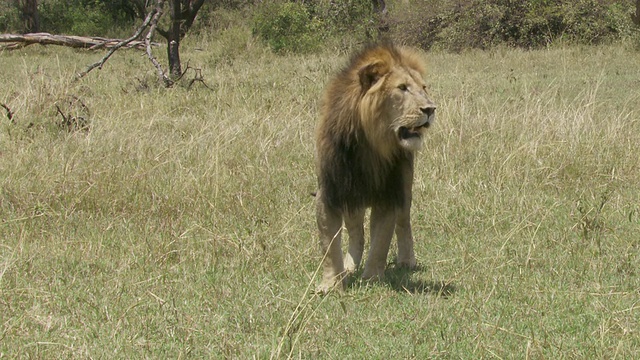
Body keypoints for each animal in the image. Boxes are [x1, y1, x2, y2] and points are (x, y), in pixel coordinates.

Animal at [314, 43, 436, 294]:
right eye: (402, 88)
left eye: (424, 87)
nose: (430, 109)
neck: (369, 145)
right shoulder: (330, 193)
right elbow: (329, 245)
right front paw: (331, 283)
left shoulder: (389, 195)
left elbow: (380, 242)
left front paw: (372, 279)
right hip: (352, 201)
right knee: (357, 234)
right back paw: (350, 265)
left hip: (404, 188)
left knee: (403, 224)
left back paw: (406, 261)